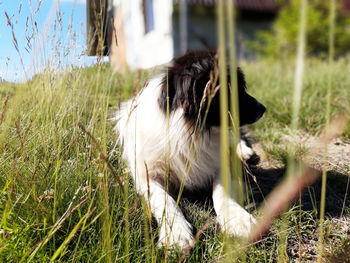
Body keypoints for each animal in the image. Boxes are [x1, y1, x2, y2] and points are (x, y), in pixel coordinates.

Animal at [115, 51, 266, 250]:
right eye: (235, 90)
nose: (263, 109)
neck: (190, 133)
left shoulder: (220, 163)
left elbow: (221, 192)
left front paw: (238, 220)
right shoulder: (147, 175)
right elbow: (165, 200)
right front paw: (175, 234)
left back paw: (245, 152)